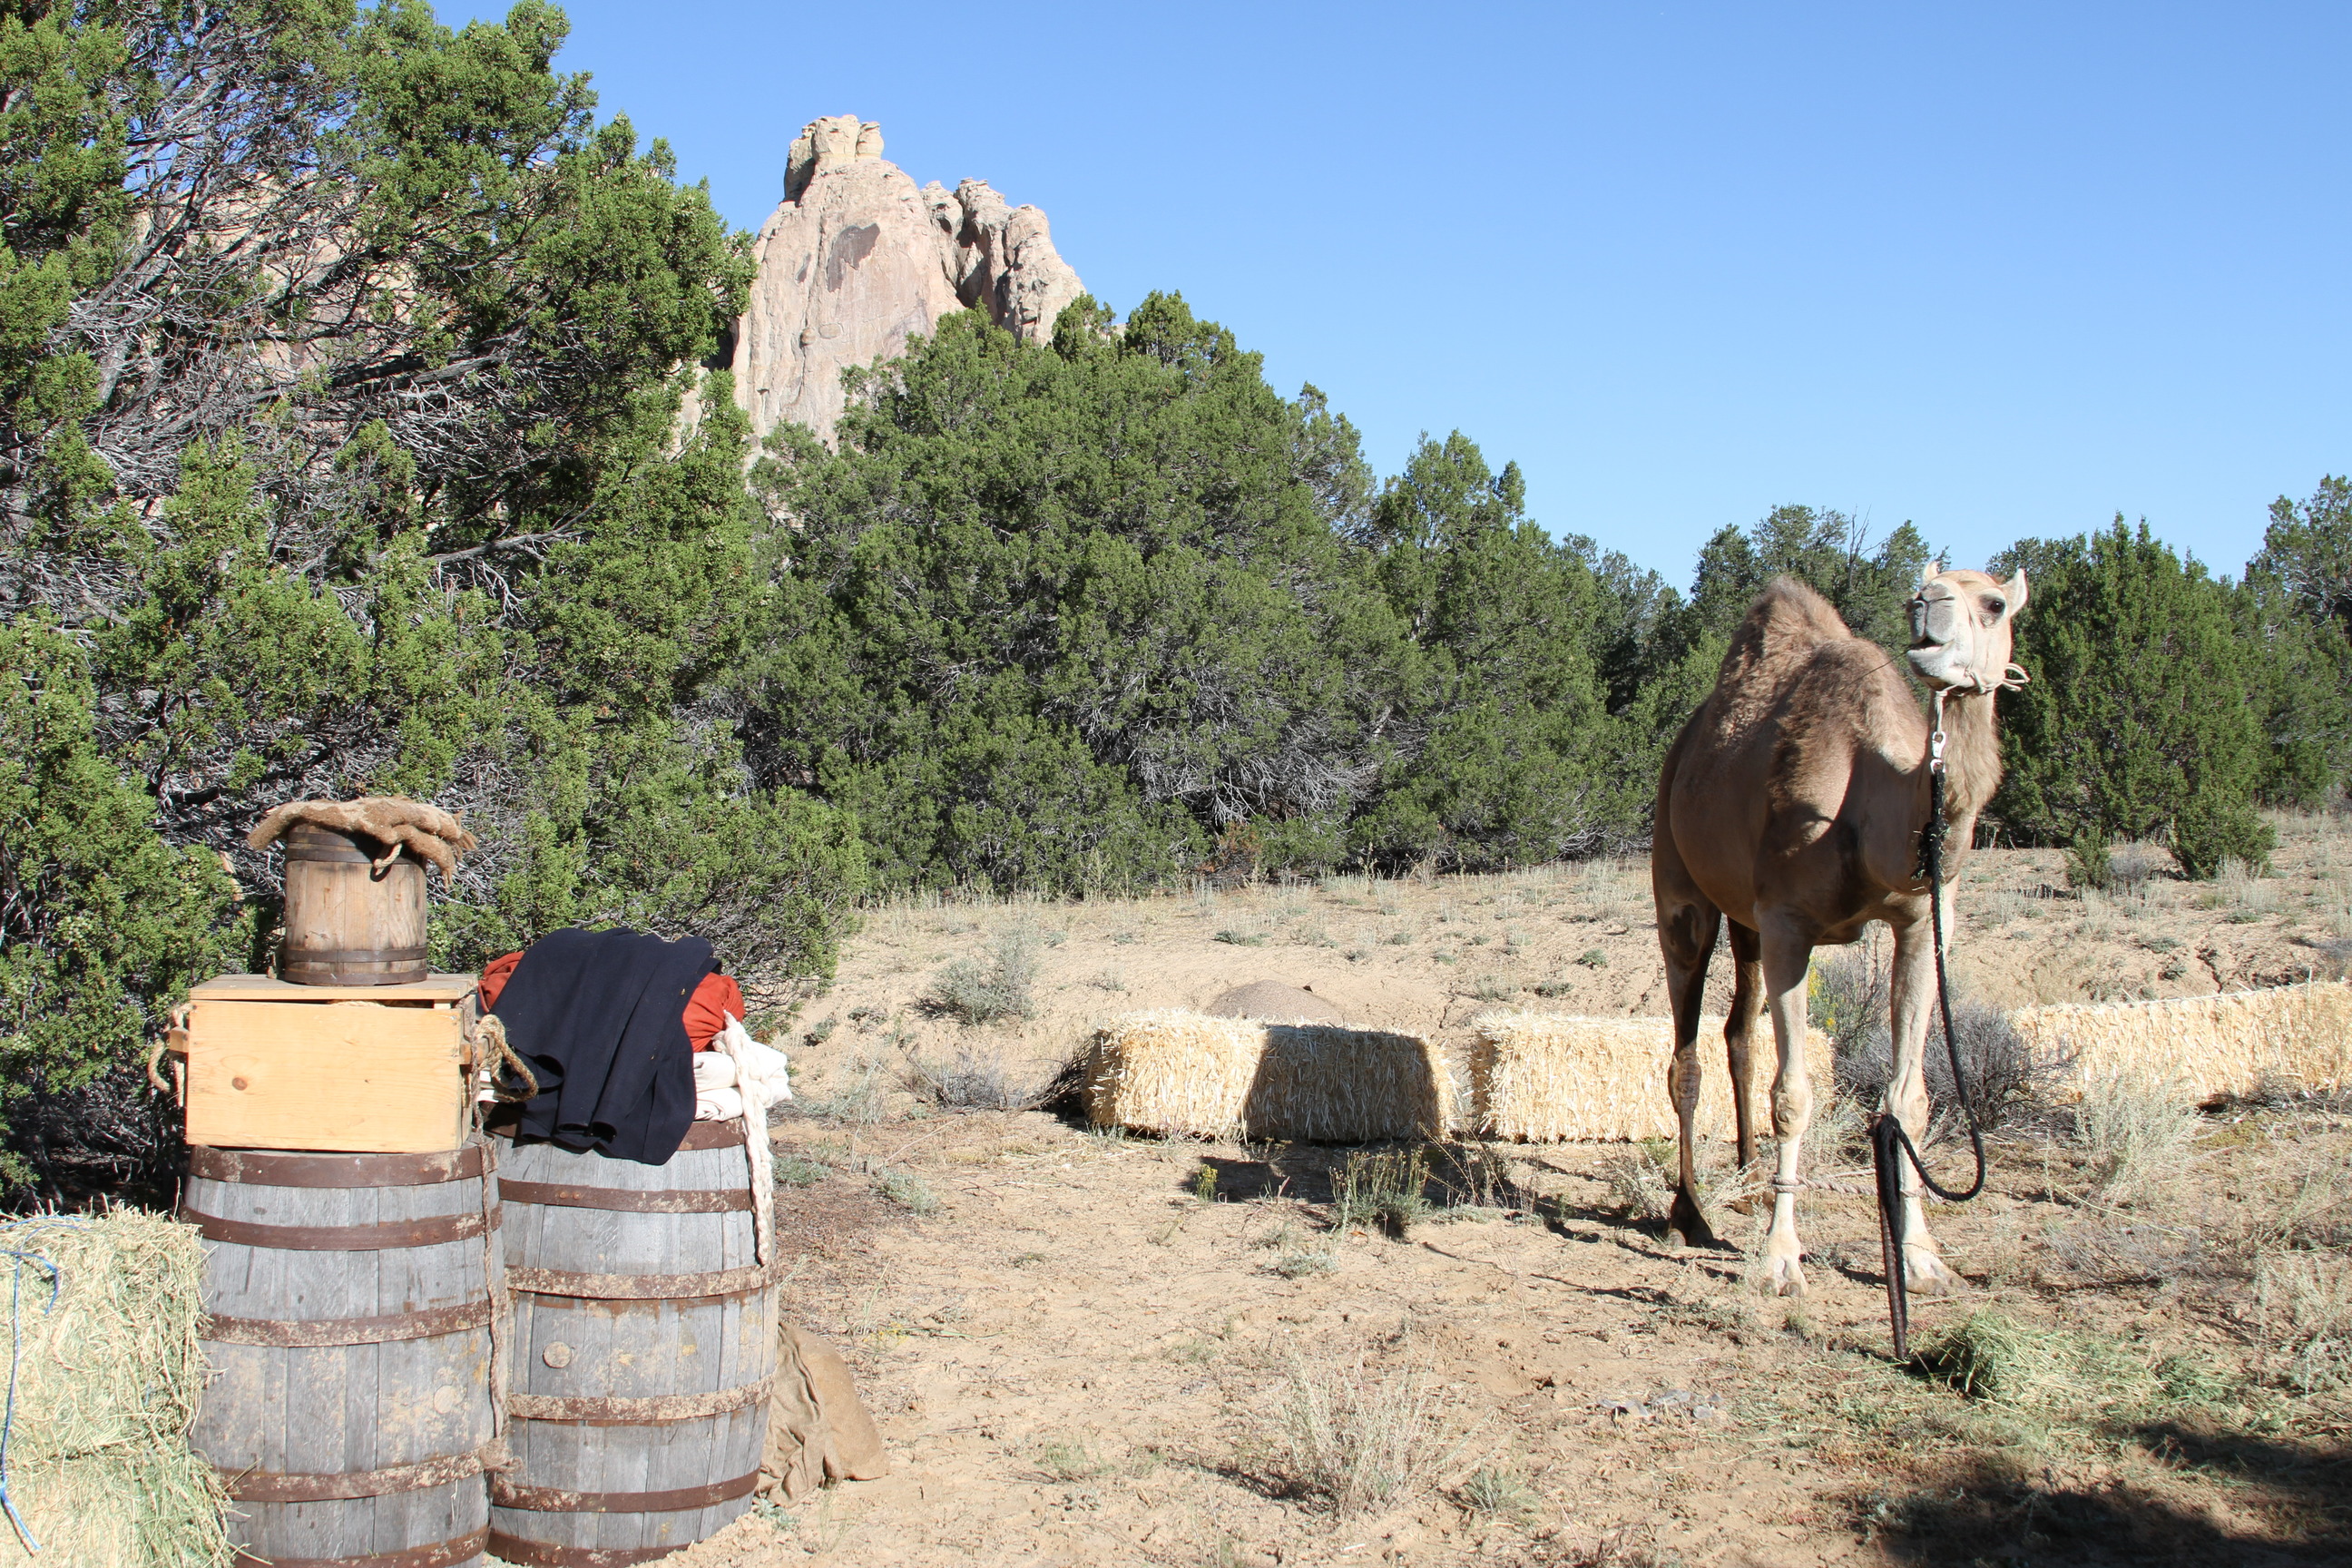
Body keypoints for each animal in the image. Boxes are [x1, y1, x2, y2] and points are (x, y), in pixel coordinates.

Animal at [1650, 565, 2028, 1296]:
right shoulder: (1789, 922)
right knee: (1686, 1054)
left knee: (1738, 1031)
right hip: (1680, 886)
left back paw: (1746, 1177)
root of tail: (1680, 753)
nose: (1928, 607)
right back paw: (1691, 1214)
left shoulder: (1924, 922)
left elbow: (1910, 1098)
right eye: (1920, 597)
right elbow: (1794, 1094)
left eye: (1995, 603)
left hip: (1745, 919)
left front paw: (1921, 1257)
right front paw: (1780, 1260)